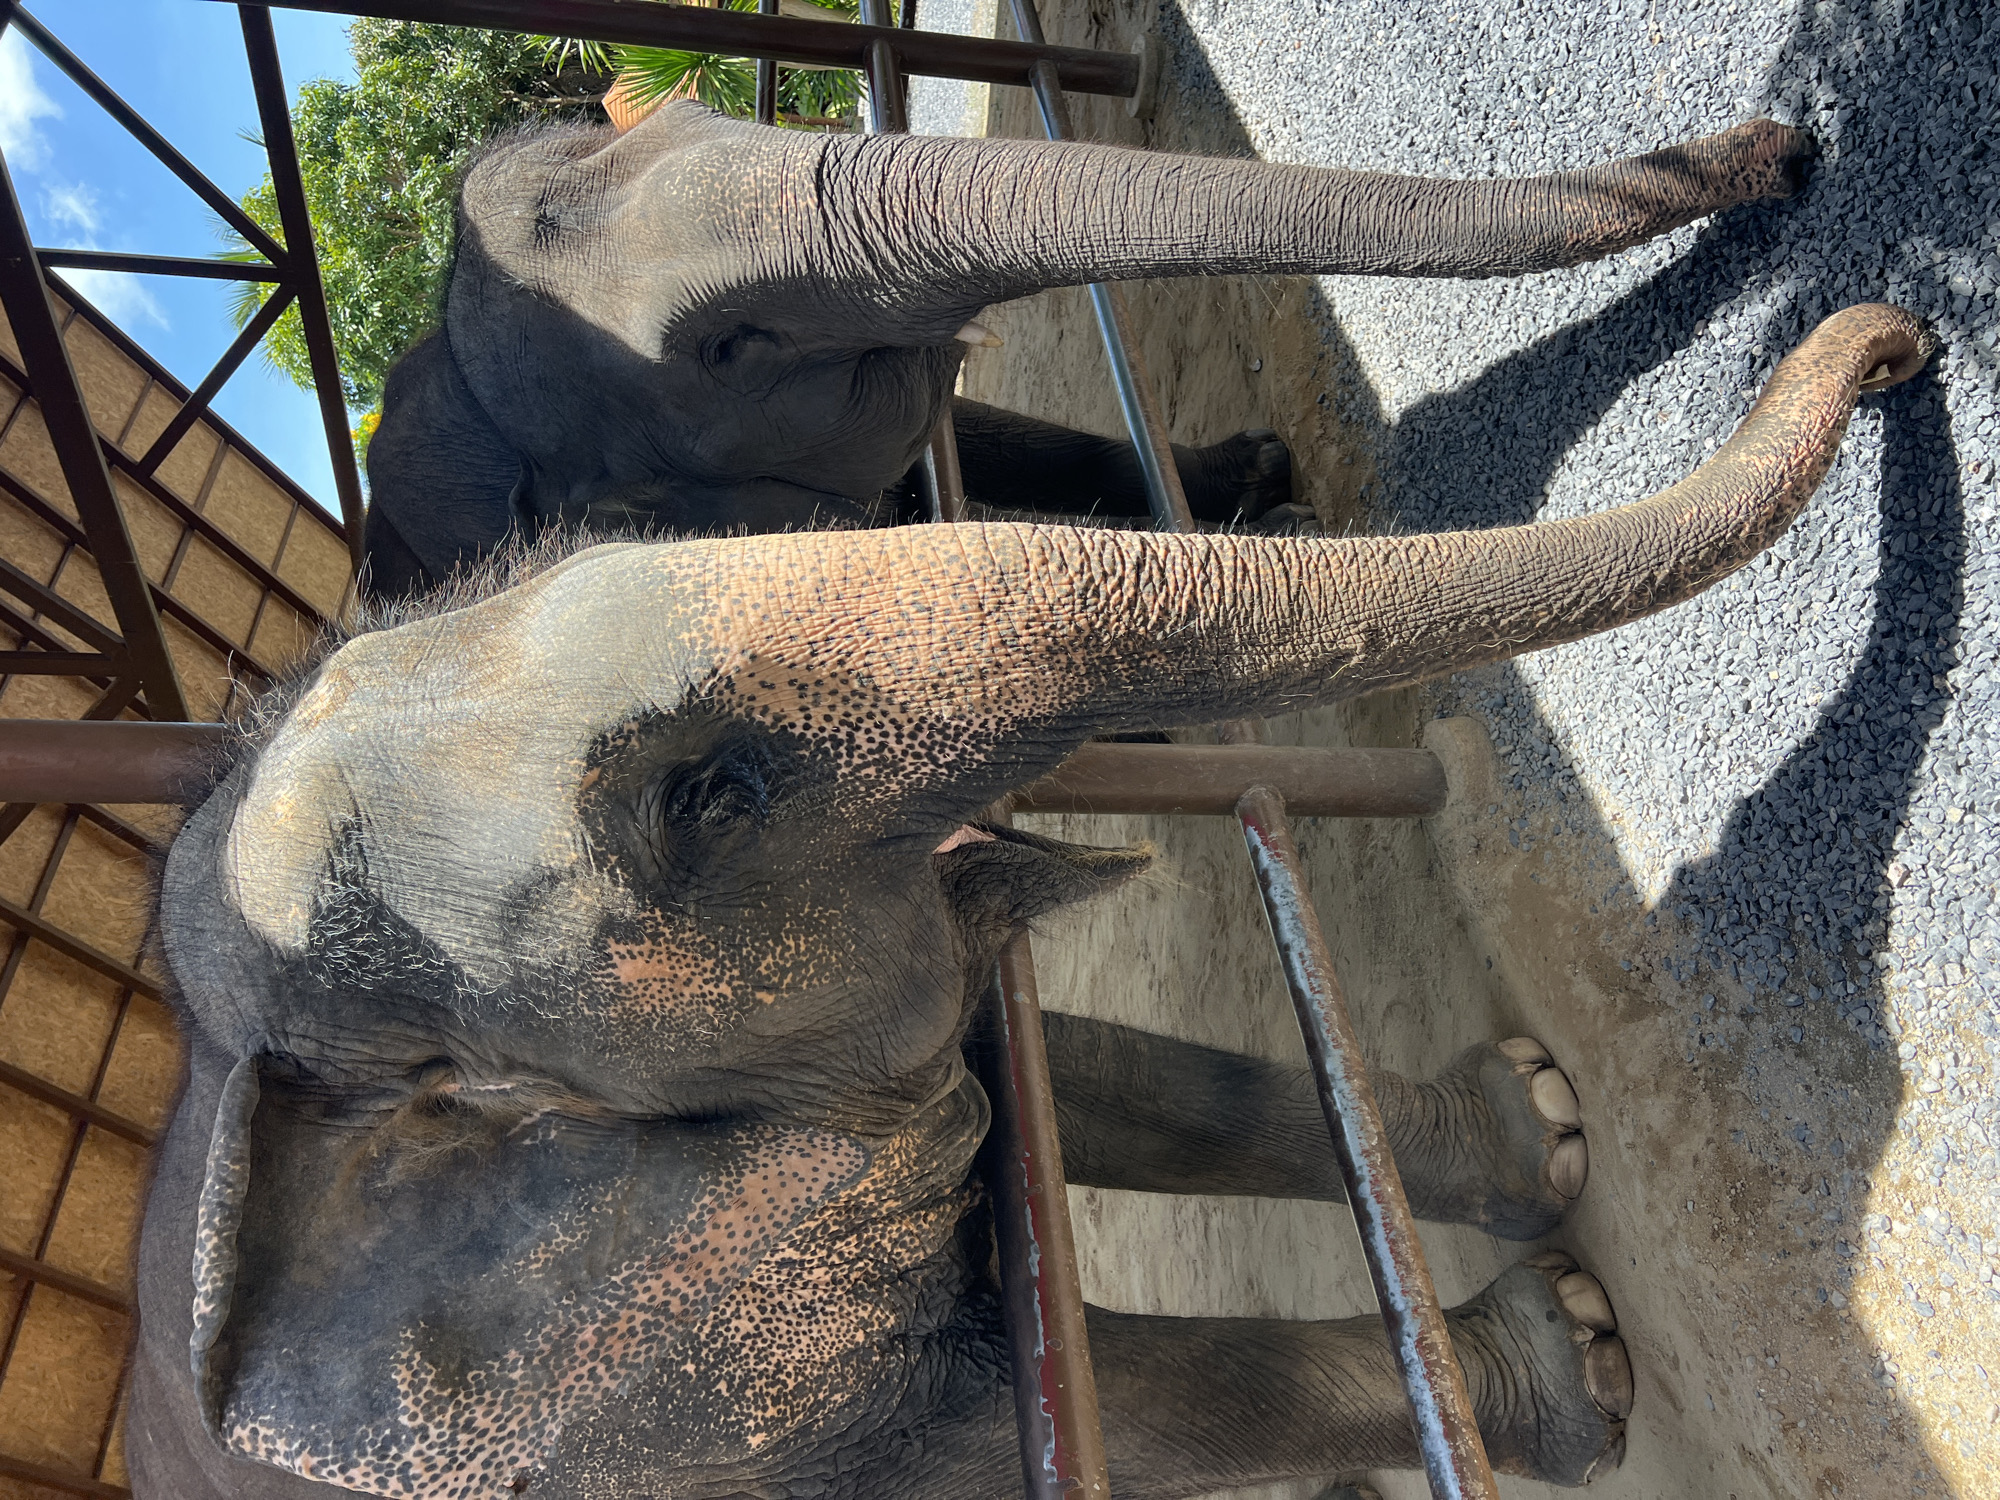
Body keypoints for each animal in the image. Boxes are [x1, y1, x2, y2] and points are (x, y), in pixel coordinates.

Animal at [127, 300, 1929, 1498]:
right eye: (705, 799)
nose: (1898, 347)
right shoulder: (663, 1398)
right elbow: (1064, 1411)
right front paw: (1587, 1354)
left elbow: (1097, 1080)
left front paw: (1545, 1131)